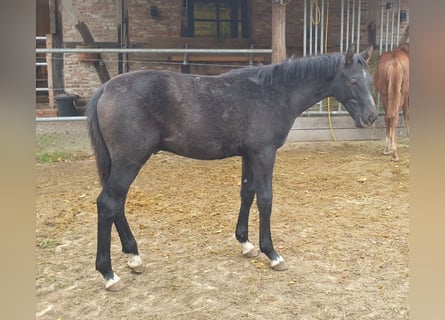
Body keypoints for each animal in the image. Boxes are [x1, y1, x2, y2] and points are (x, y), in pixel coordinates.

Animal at [86, 43, 374, 292]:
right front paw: (272, 254)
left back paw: (134, 257)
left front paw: (246, 244)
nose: (370, 118)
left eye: (369, 80)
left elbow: (247, 194)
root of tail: (105, 88)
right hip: (129, 162)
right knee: (108, 204)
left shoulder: (249, 155)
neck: (273, 93)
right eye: (353, 81)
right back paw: (109, 274)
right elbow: (265, 200)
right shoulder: (263, 154)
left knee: (117, 205)